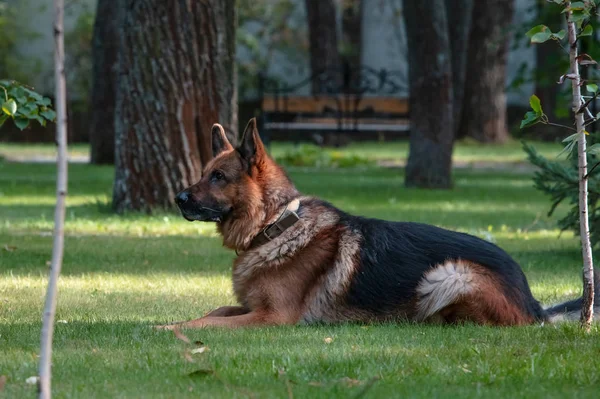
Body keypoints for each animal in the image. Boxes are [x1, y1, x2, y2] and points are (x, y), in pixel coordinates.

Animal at [157, 119, 596, 332]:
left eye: (218, 178)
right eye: (205, 173)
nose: (178, 198)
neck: (276, 227)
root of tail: (533, 303)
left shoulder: (272, 319)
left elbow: (209, 320)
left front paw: (166, 325)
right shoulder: (251, 307)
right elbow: (216, 309)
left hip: (447, 275)